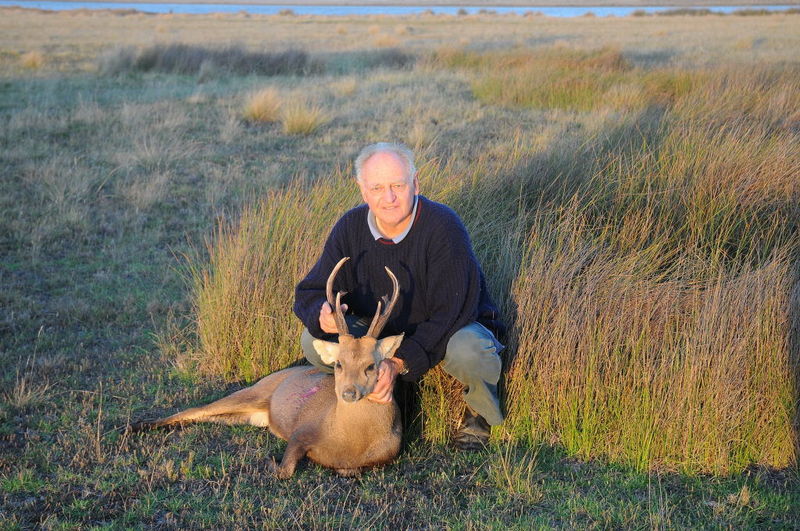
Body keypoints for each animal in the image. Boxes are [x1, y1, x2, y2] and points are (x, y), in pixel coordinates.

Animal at [133, 257, 404, 478]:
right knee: (196, 408)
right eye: (338, 363)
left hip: (250, 416)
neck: (349, 440)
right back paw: (136, 425)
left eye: (371, 365)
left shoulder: (385, 455)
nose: (349, 392)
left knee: (209, 416)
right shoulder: (301, 431)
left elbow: (349, 470)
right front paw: (270, 461)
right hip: (254, 392)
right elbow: (286, 470)